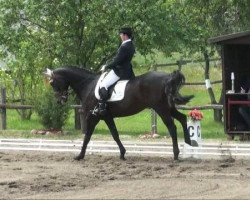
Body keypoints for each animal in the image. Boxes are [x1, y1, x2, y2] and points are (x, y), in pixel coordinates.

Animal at [44, 66, 193, 160]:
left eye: (52, 83)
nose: (60, 101)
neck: (88, 85)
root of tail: (168, 76)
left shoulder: (94, 116)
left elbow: (87, 136)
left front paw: (80, 156)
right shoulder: (107, 116)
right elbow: (115, 134)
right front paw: (122, 153)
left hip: (161, 109)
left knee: (172, 127)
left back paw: (176, 154)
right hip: (168, 108)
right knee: (183, 118)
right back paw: (190, 143)